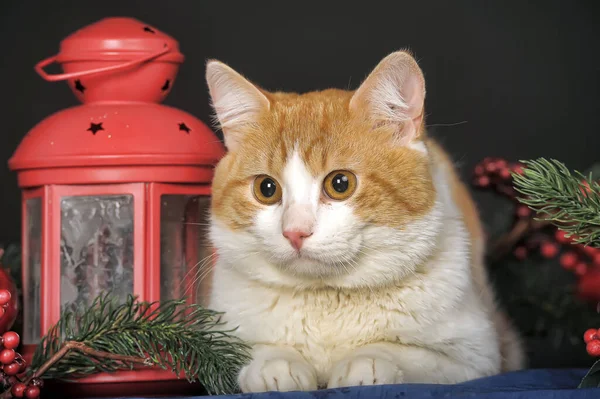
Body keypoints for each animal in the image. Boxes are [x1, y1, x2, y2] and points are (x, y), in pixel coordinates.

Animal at [204, 50, 524, 394]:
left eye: (340, 184)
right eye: (266, 188)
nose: (295, 232)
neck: (326, 299)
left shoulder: (476, 356)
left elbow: (403, 352)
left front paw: (366, 361)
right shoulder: (217, 336)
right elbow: (245, 351)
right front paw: (275, 363)